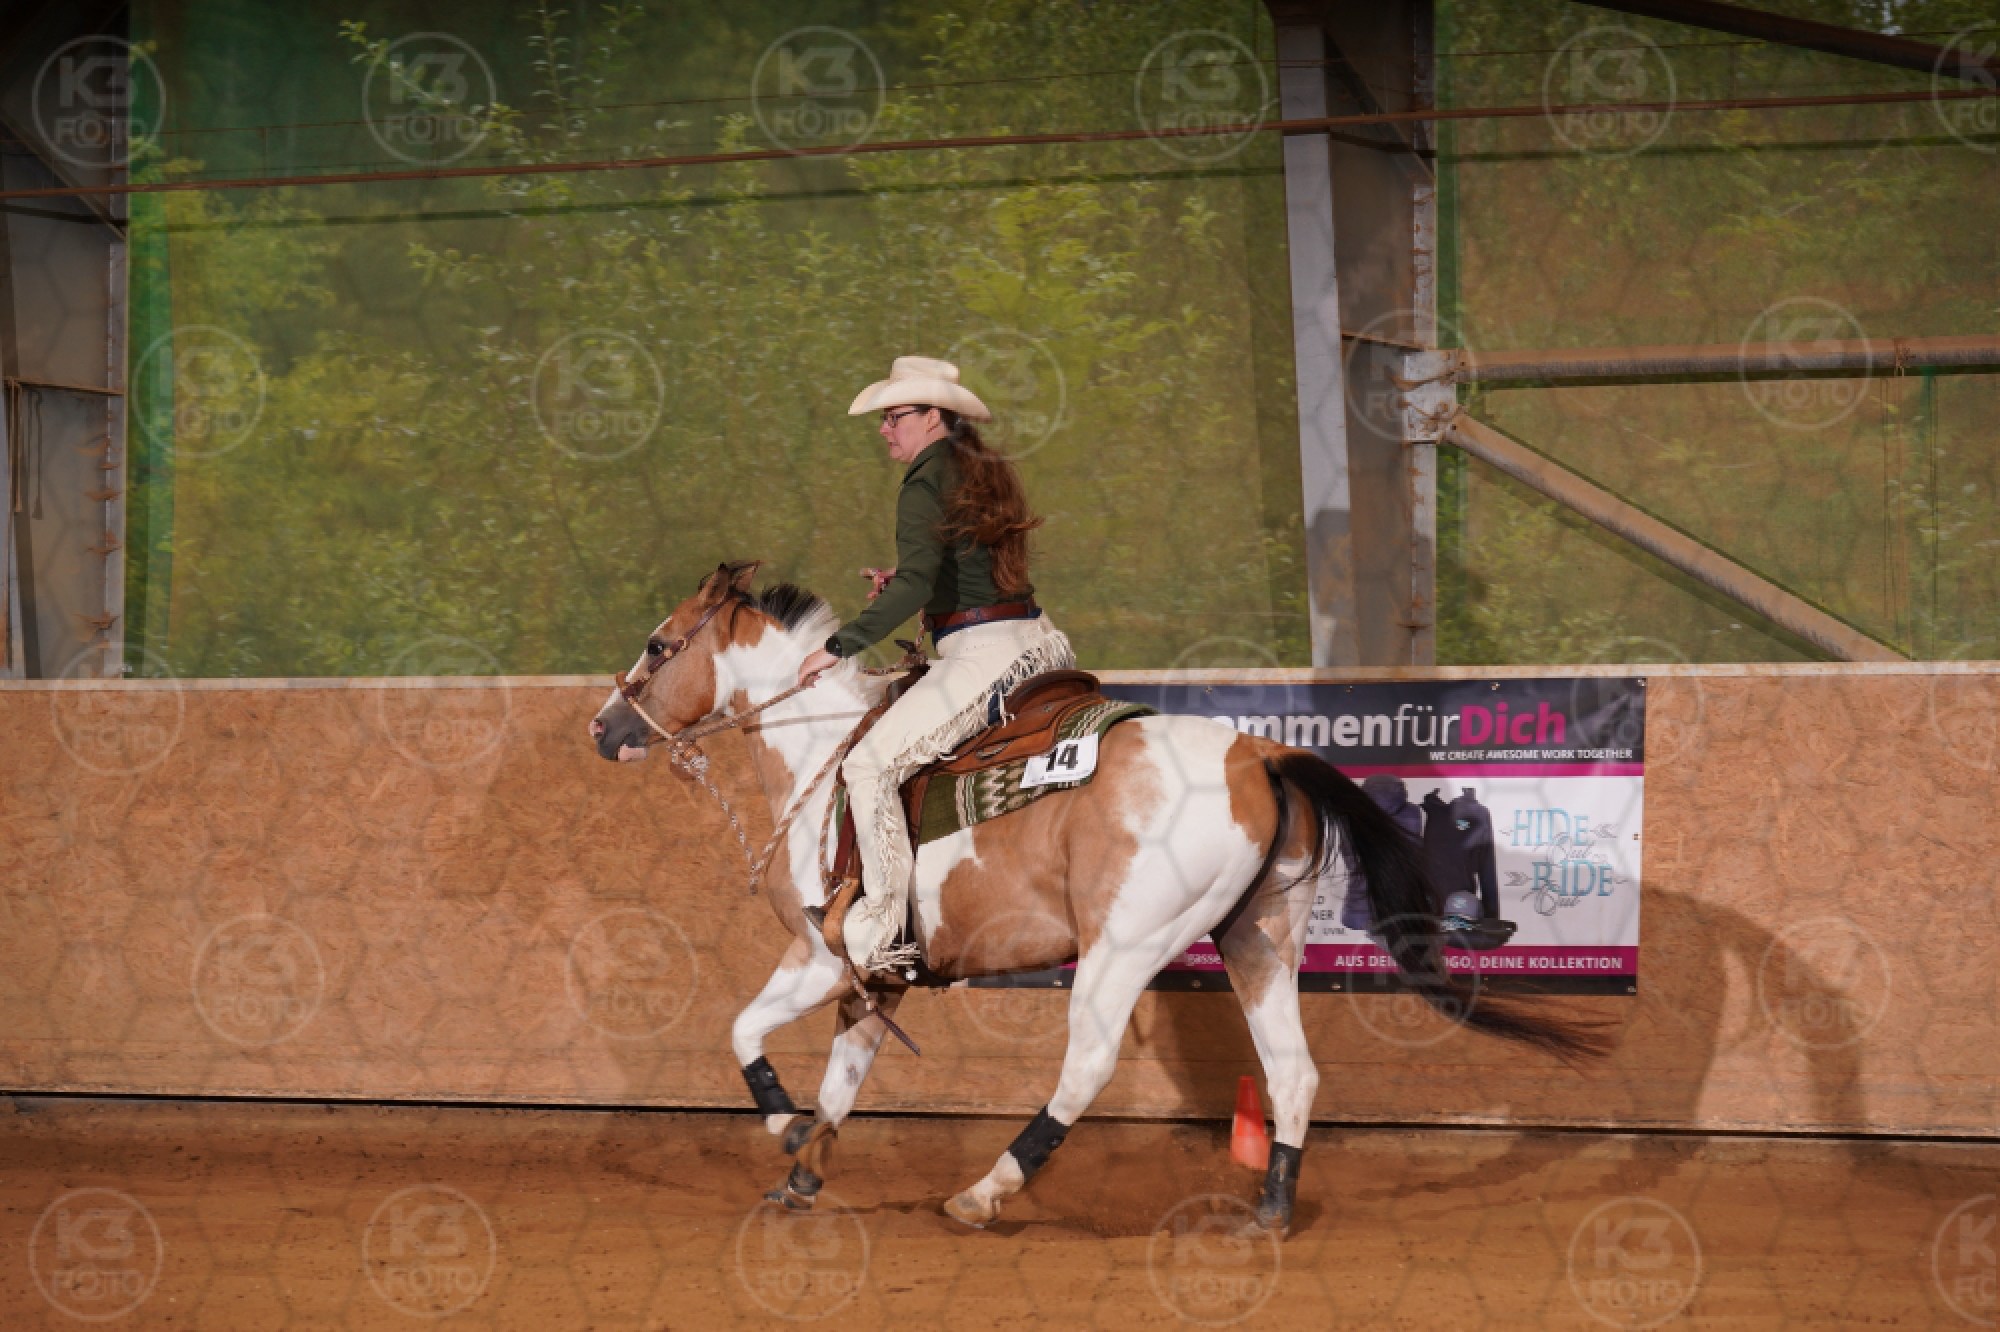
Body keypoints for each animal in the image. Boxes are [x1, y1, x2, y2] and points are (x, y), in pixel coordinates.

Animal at [589, 561, 1609, 1235]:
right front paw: (805, 1172)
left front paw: (782, 1123)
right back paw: (1271, 1207)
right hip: (1260, 939)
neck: (825, 754)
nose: (602, 729)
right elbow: (845, 1077)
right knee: (1292, 1073)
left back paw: (986, 1191)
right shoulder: (875, 980)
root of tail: (1261, 754)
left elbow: (742, 1032)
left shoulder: (818, 955)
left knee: (1084, 1069)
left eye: (658, 644)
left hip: (1121, 950)